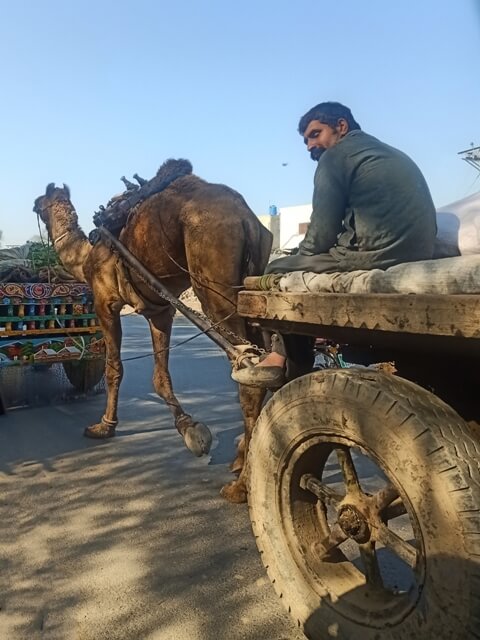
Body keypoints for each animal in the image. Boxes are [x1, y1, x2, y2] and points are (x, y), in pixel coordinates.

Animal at [32, 162, 274, 502]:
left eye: (41, 201)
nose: (34, 205)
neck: (86, 255)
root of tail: (246, 218)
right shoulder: (160, 311)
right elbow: (160, 376)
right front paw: (189, 428)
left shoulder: (105, 301)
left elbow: (114, 368)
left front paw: (104, 426)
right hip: (253, 283)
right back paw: (240, 459)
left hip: (215, 279)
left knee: (247, 368)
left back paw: (240, 486)